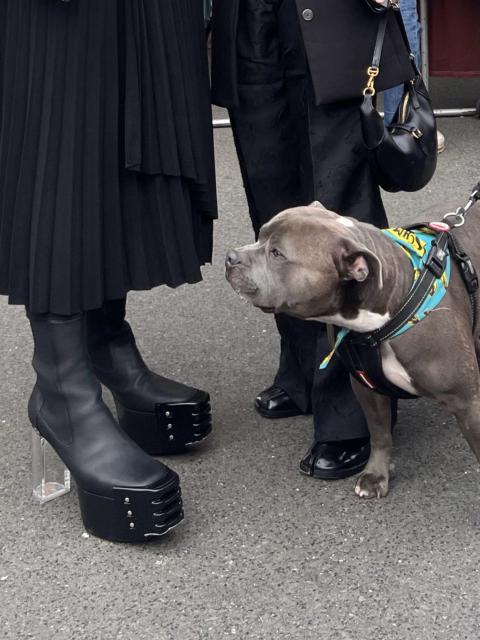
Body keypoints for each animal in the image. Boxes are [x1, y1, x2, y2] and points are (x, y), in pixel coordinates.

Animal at [226, 202, 480, 498]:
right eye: (260, 235)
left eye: (277, 253)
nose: (230, 257)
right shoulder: (365, 386)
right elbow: (379, 432)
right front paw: (376, 475)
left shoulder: (468, 402)